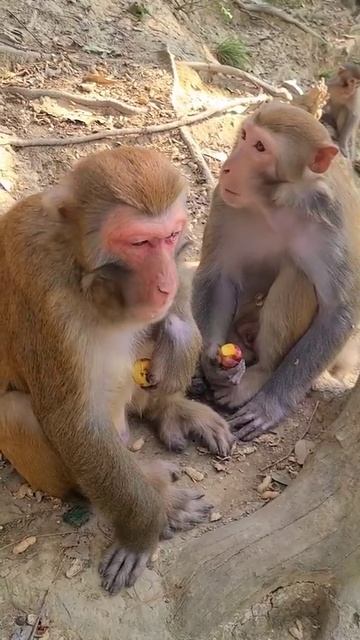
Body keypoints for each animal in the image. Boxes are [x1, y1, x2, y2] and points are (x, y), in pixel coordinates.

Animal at [0, 146, 232, 596]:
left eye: (171, 236)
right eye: (139, 242)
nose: (164, 283)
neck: (74, 259)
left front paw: (180, 337)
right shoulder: (44, 291)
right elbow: (74, 422)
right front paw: (143, 529)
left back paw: (169, 409)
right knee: (17, 413)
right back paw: (157, 492)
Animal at [193, 104, 360, 440]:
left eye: (260, 148)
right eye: (245, 136)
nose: (228, 168)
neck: (277, 202)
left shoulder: (330, 223)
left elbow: (338, 312)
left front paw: (271, 404)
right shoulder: (224, 199)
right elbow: (217, 275)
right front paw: (212, 360)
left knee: (298, 275)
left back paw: (260, 373)